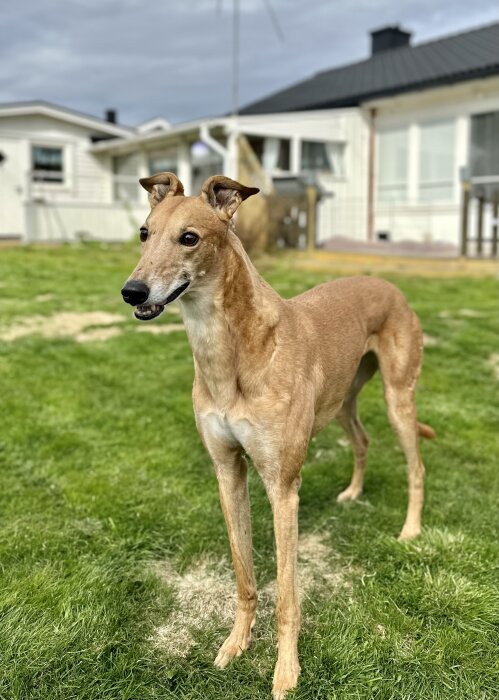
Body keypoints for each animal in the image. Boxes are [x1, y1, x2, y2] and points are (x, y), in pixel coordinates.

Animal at [121, 171, 434, 700]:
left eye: (190, 237)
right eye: (145, 232)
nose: (132, 291)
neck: (231, 353)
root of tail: (387, 283)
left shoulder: (282, 487)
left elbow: (287, 596)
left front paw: (286, 671)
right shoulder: (228, 471)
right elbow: (244, 576)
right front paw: (236, 643)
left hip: (399, 400)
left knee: (416, 464)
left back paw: (410, 529)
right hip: (341, 402)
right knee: (363, 439)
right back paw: (353, 492)